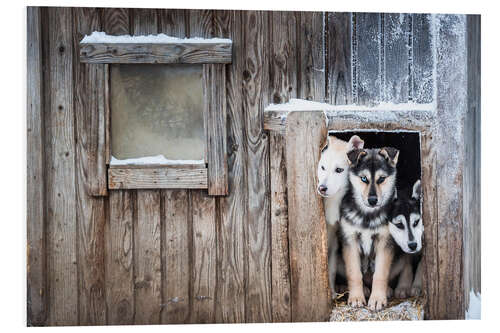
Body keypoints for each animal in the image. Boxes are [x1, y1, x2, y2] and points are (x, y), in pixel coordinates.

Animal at [340, 147, 398, 310]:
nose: (372, 200)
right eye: (364, 179)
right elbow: (354, 273)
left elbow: (380, 274)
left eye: (381, 179)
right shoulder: (350, 241)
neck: (367, 215)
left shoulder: (385, 241)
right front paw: (356, 297)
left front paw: (377, 298)